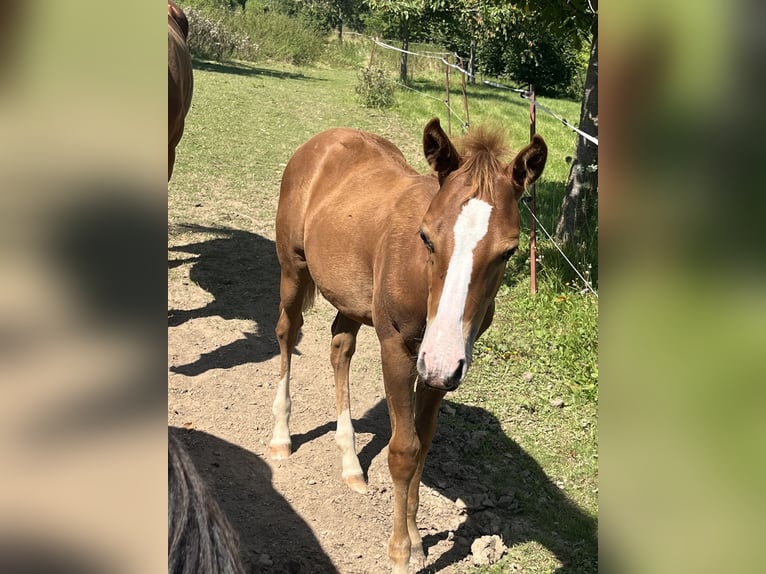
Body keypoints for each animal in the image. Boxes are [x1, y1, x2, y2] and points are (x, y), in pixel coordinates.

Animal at [270, 119, 544, 572]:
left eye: (509, 251)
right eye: (426, 237)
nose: (442, 360)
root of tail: (325, 139)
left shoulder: (438, 367)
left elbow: (423, 443)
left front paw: (416, 539)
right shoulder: (399, 350)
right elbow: (402, 449)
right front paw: (400, 550)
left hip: (352, 298)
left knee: (340, 348)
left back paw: (350, 463)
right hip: (293, 269)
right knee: (287, 335)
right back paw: (281, 438)